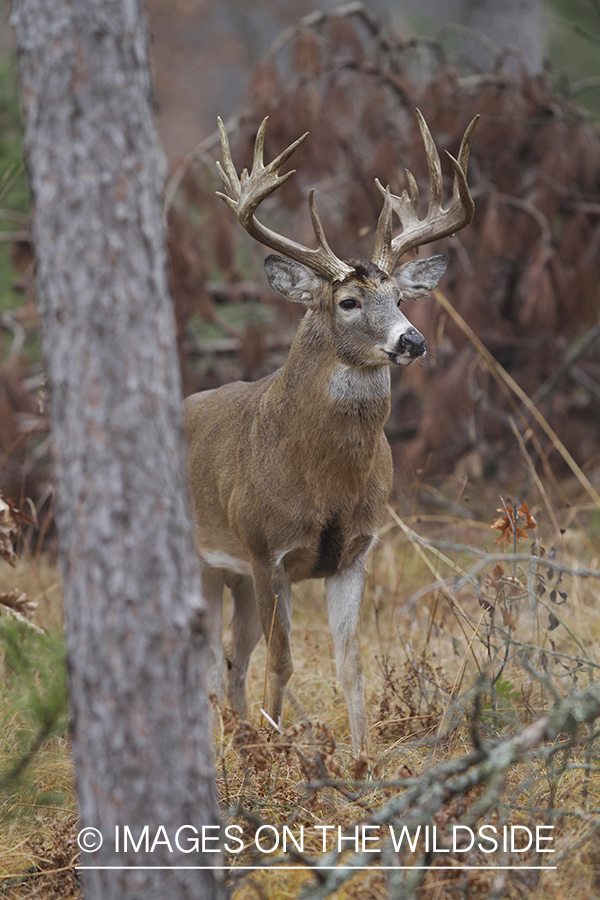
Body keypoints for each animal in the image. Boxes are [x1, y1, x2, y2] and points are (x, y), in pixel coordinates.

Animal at [184, 109, 478, 752]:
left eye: (400, 296)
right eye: (347, 301)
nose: (412, 340)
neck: (323, 480)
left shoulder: (355, 550)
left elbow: (351, 663)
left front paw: (363, 754)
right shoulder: (266, 547)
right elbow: (283, 661)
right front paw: (278, 751)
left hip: (234, 574)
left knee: (230, 658)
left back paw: (238, 738)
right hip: (209, 559)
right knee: (209, 657)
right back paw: (231, 743)